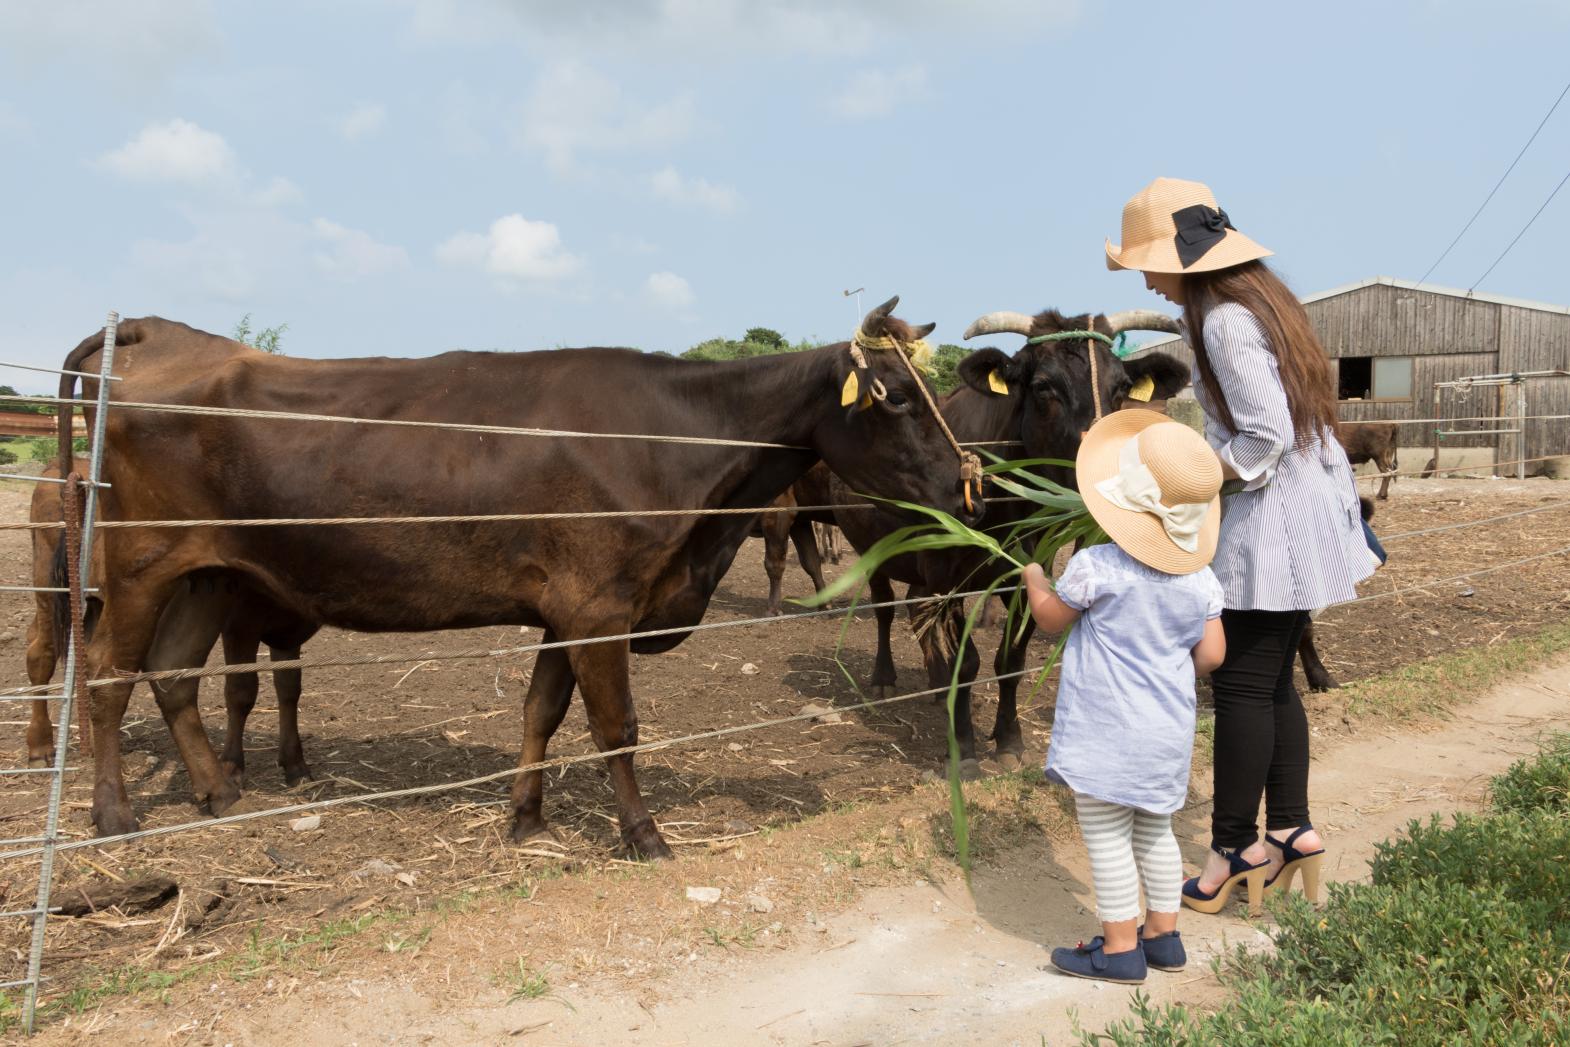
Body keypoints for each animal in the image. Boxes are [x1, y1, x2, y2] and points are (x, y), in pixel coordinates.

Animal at [25, 461, 318, 781]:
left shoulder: (288, 631)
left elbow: (289, 688)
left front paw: (295, 763)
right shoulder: (239, 625)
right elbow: (241, 691)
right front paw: (231, 765)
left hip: (99, 606)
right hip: (50, 590)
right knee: (41, 653)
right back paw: (40, 747)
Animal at [58, 298, 979, 853]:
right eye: (898, 397)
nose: (964, 482)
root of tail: (160, 331)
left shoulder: (564, 608)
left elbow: (542, 709)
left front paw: (526, 817)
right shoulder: (601, 604)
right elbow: (616, 725)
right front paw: (642, 833)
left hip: (204, 571)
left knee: (172, 674)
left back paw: (219, 793)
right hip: (138, 562)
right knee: (106, 675)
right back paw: (114, 813)